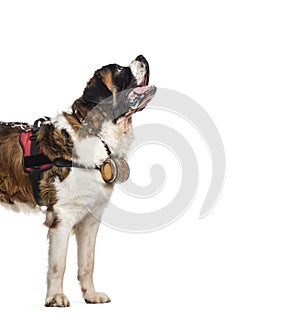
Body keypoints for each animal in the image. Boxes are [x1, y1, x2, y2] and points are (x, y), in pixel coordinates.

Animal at [0, 54, 156, 306]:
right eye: (119, 70)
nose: (142, 57)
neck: (99, 135)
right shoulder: (62, 217)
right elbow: (59, 264)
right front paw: (55, 297)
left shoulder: (91, 219)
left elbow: (87, 261)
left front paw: (91, 295)